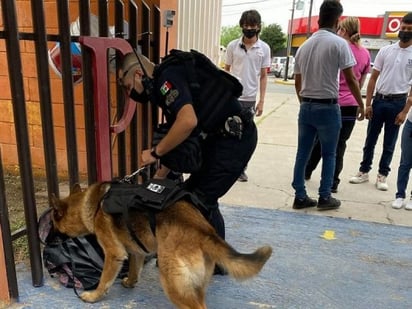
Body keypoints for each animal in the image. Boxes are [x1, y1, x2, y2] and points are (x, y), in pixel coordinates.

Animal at [50, 182, 272, 306]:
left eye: (53, 222)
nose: (49, 239)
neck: (92, 205)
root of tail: (204, 231)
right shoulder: (137, 251)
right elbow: (134, 268)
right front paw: (130, 282)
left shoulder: (114, 254)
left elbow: (105, 280)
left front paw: (94, 296)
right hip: (194, 285)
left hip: (172, 282)